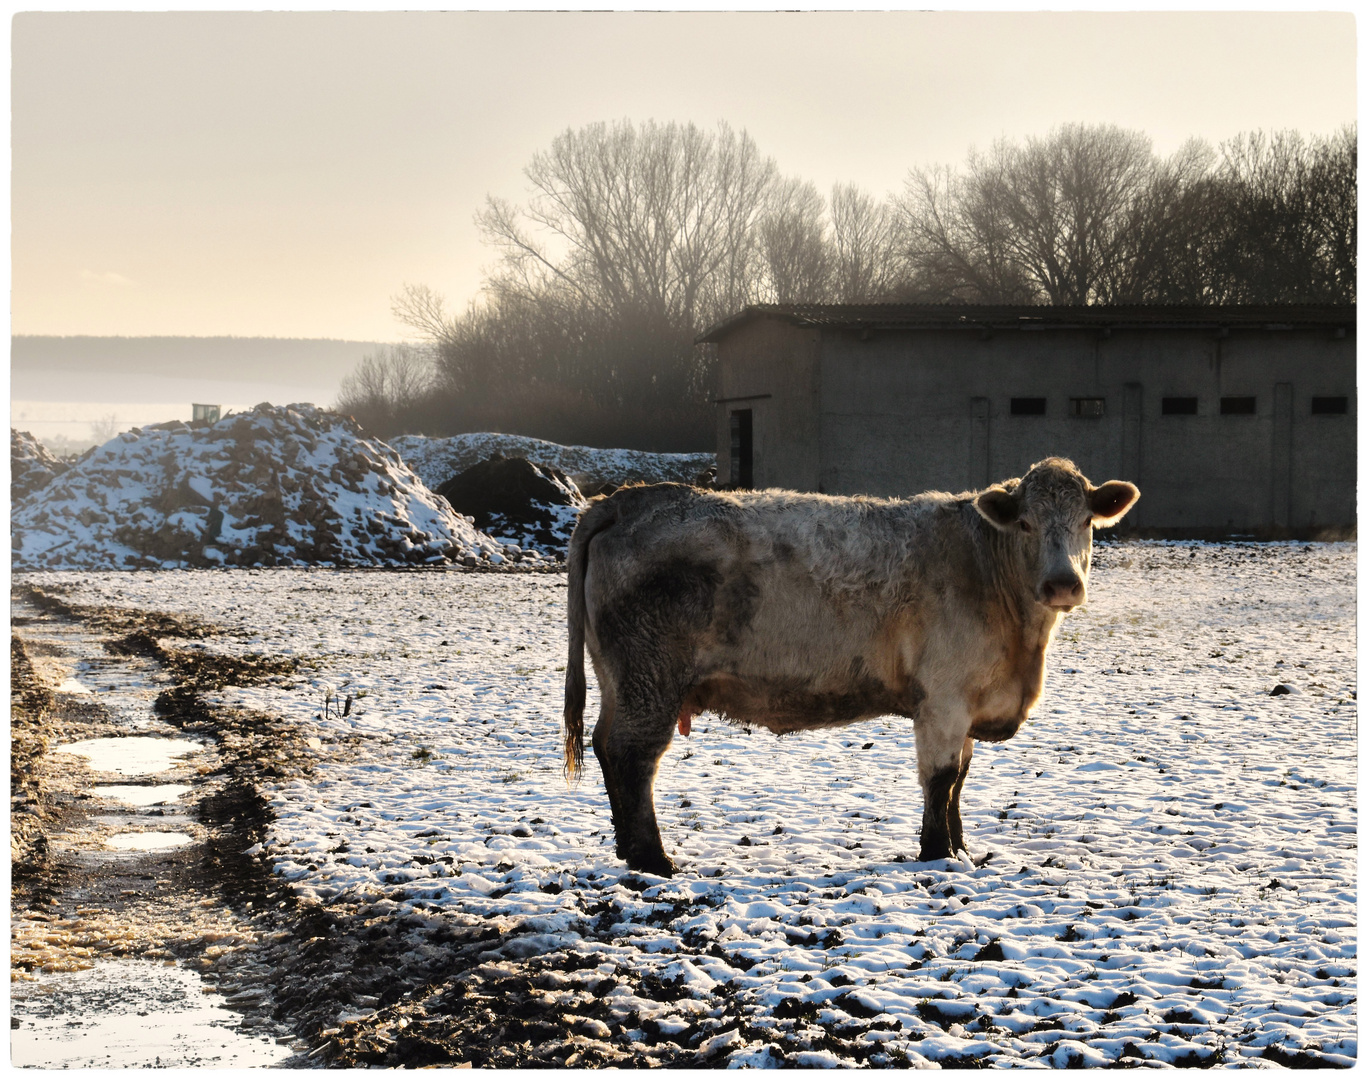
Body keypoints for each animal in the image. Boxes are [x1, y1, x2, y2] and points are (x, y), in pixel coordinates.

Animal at [560, 454, 1138, 876]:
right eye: (1024, 522)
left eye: (1087, 521)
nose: (1062, 583)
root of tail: (630, 499)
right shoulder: (944, 699)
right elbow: (941, 778)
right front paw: (937, 855)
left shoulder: (969, 703)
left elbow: (959, 781)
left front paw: (960, 849)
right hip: (651, 678)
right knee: (634, 755)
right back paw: (653, 860)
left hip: (620, 680)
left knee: (605, 745)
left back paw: (626, 848)